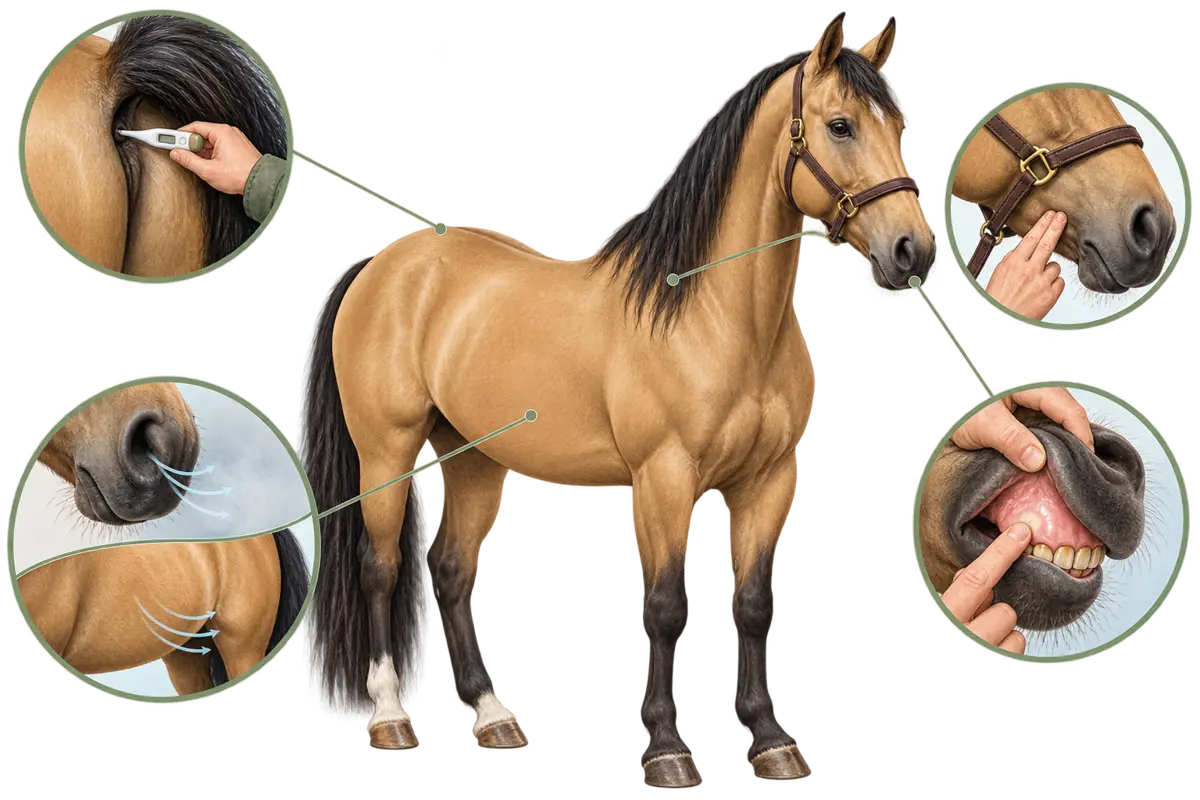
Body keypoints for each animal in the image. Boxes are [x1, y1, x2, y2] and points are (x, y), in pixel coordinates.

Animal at [300, 13, 935, 788]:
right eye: (840, 125)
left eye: (898, 123)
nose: (912, 250)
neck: (712, 318)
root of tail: (387, 264)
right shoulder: (663, 480)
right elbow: (663, 605)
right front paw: (665, 750)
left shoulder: (769, 482)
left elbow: (753, 604)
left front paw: (771, 742)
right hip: (385, 456)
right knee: (381, 568)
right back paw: (390, 718)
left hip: (475, 459)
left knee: (451, 571)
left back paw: (494, 719)